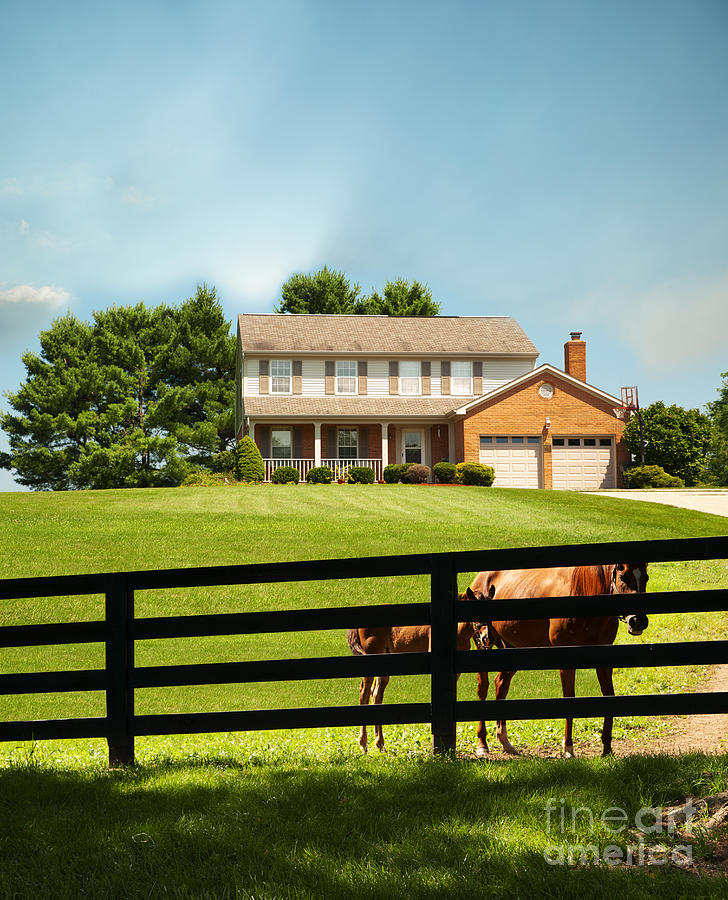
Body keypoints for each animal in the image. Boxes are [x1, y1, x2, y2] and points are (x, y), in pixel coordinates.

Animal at [466, 568, 648, 756]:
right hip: (483, 643)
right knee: (483, 688)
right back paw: (482, 744)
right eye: (622, 577)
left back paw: (505, 742)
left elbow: (609, 696)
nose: (638, 621)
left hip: (511, 648)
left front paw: (607, 748)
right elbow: (569, 697)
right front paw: (568, 748)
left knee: (501, 684)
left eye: (646, 578)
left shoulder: (604, 657)